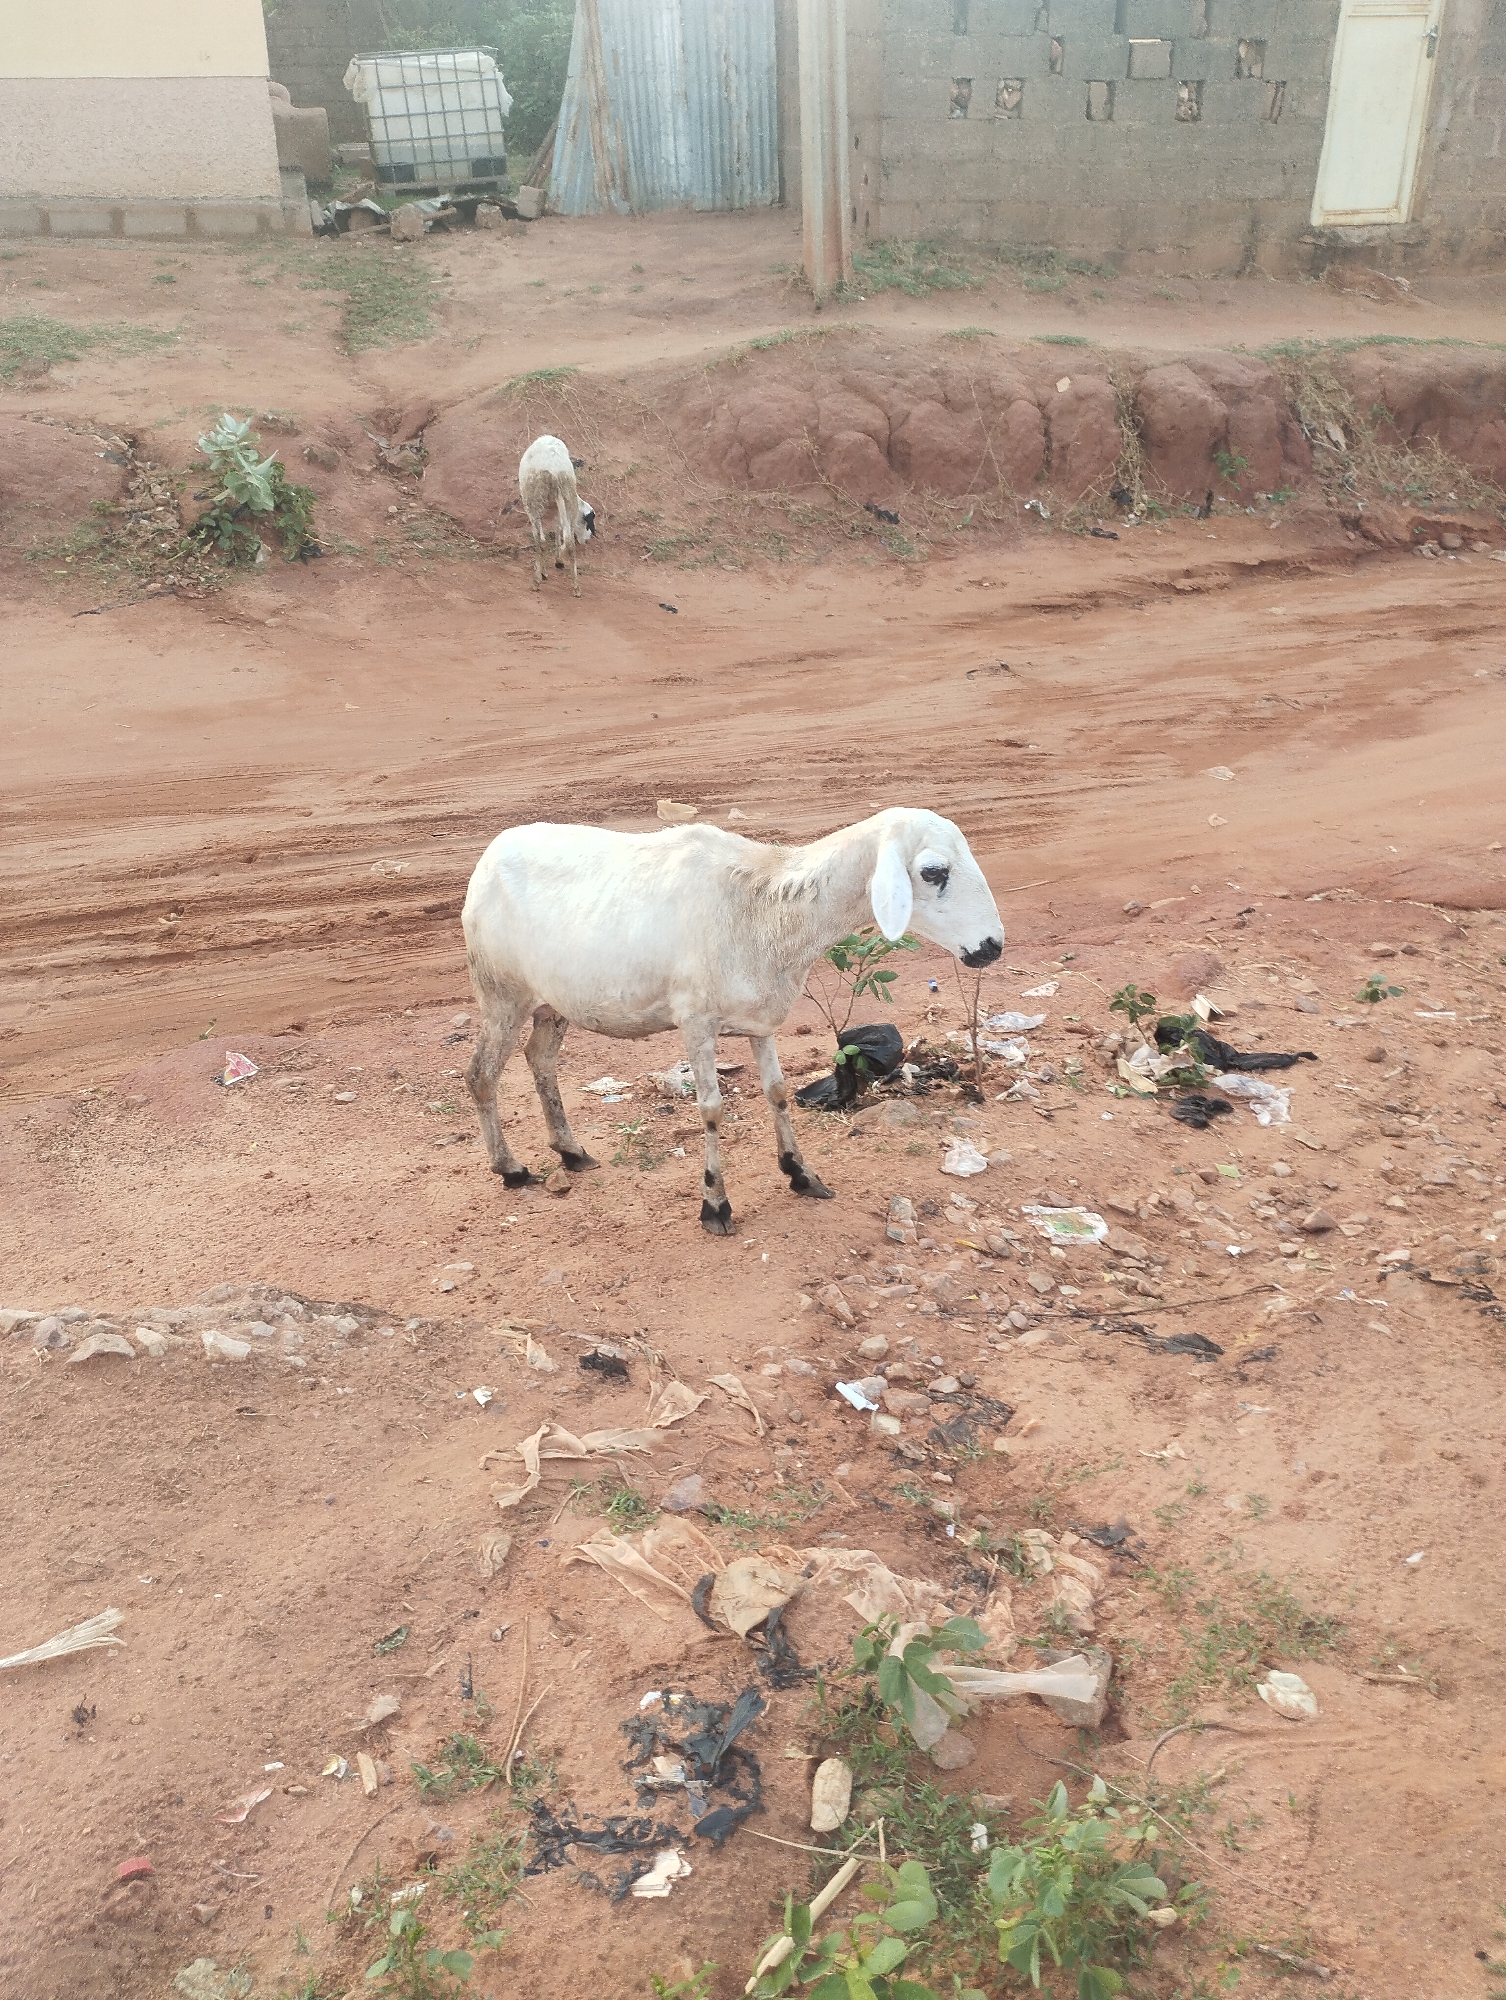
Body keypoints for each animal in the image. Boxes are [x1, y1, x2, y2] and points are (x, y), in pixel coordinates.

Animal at [462, 807, 1003, 1235]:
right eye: (932, 871)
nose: (992, 946)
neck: (766, 907)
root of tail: (491, 853)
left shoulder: (761, 1021)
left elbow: (777, 1094)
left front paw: (800, 1173)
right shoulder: (696, 1022)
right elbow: (711, 1110)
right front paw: (715, 1203)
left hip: (554, 1002)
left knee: (539, 1061)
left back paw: (570, 1151)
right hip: (500, 991)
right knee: (481, 1075)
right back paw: (509, 1168)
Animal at [518, 433, 594, 595]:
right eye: (588, 524)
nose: (588, 540)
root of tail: (555, 471)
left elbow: (546, 536)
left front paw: (544, 571)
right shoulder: (559, 508)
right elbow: (559, 530)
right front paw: (558, 560)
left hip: (534, 503)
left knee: (540, 541)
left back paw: (537, 581)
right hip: (566, 496)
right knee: (570, 541)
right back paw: (576, 587)